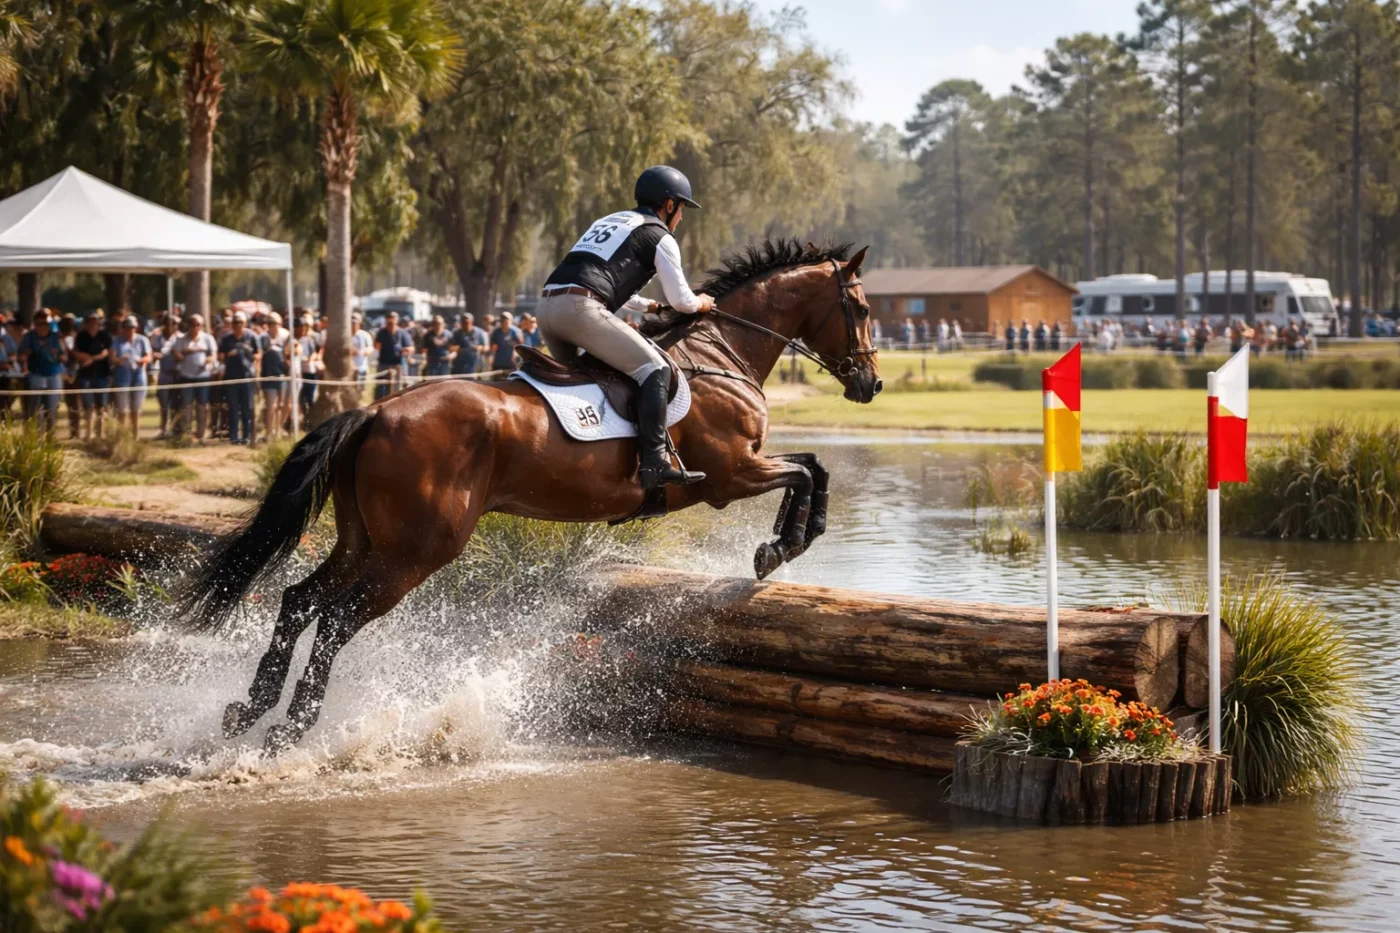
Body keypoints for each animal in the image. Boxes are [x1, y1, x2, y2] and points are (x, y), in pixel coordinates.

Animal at [179, 239, 882, 752]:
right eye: (864, 309)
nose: (871, 385)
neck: (724, 352)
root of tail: (375, 411)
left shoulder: (747, 467)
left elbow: (813, 465)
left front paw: (786, 543)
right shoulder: (733, 474)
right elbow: (806, 472)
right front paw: (782, 546)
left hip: (365, 538)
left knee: (300, 600)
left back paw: (248, 708)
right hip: (416, 552)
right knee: (333, 620)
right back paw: (293, 724)